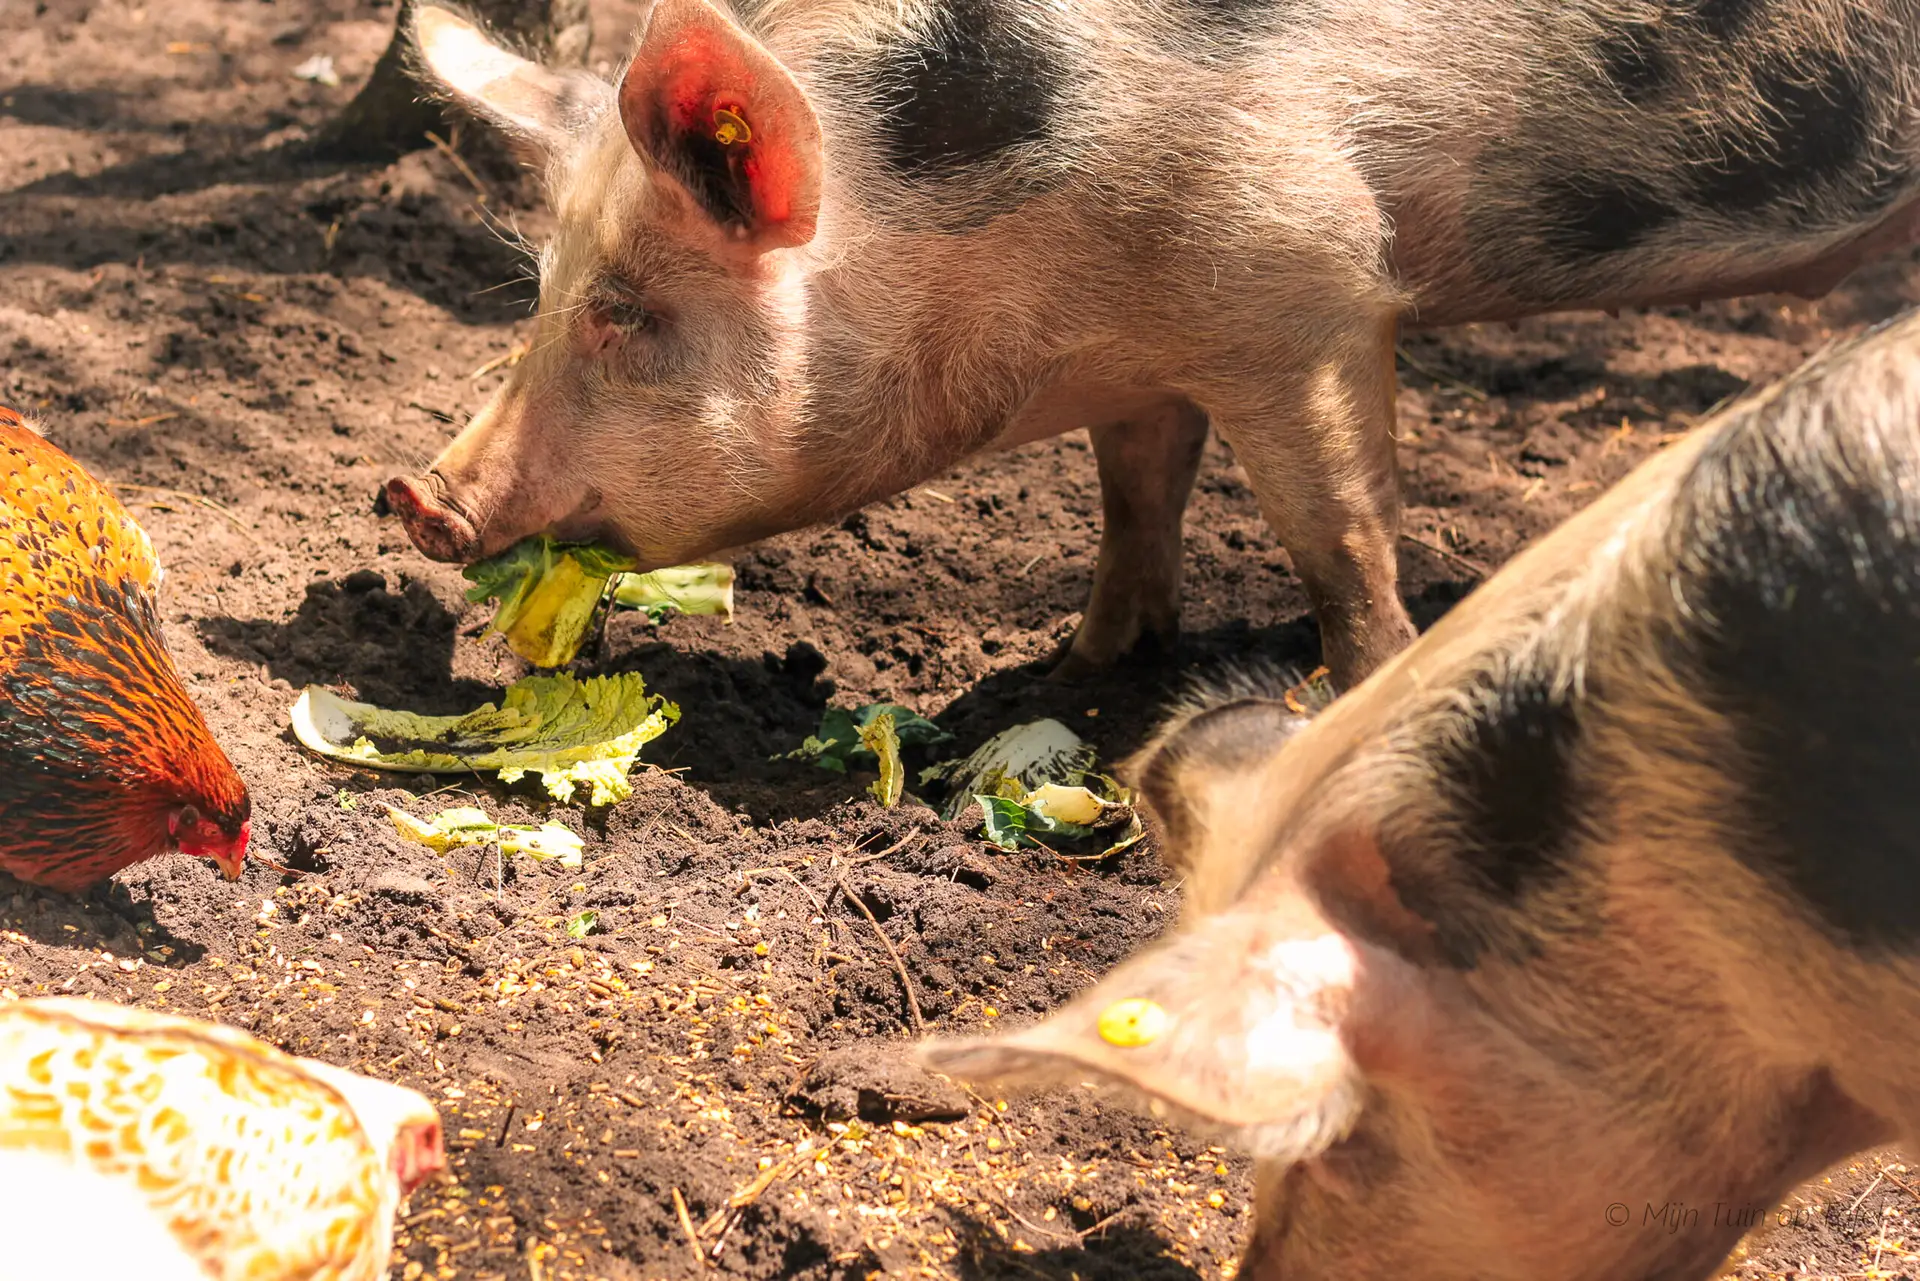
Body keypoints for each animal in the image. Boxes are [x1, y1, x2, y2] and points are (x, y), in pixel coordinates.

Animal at [386, 0, 1920, 690]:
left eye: (629, 312)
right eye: (541, 286)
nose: (413, 494)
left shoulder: (1306, 287)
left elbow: (1340, 535)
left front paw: (1357, 687)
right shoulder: (1145, 356)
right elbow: (1135, 498)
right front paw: (1085, 664)